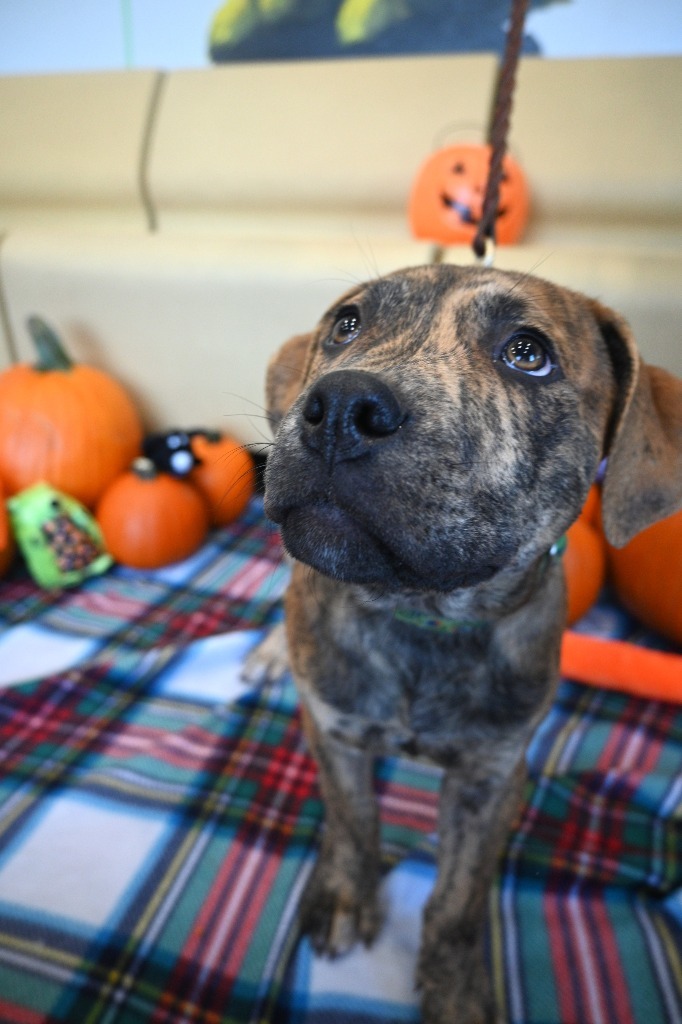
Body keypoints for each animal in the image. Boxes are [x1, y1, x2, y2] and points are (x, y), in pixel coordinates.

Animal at [258, 266, 679, 1024]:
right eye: (345, 325)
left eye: (528, 353)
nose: (341, 406)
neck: (423, 618)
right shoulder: (334, 731)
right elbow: (353, 817)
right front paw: (345, 894)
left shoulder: (492, 777)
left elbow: (458, 897)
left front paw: (455, 986)